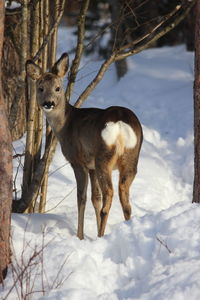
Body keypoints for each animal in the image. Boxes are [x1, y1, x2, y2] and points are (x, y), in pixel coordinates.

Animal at [26, 52, 143, 238]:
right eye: (40, 88)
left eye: (58, 88)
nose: (48, 103)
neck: (65, 124)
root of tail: (119, 124)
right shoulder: (91, 165)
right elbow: (95, 197)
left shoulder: (77, 161)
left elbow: (82, 197)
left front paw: (80, 236)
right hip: (131, 157)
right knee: (124, 199)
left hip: (104, 158)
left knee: (109, 196)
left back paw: (102, 235)